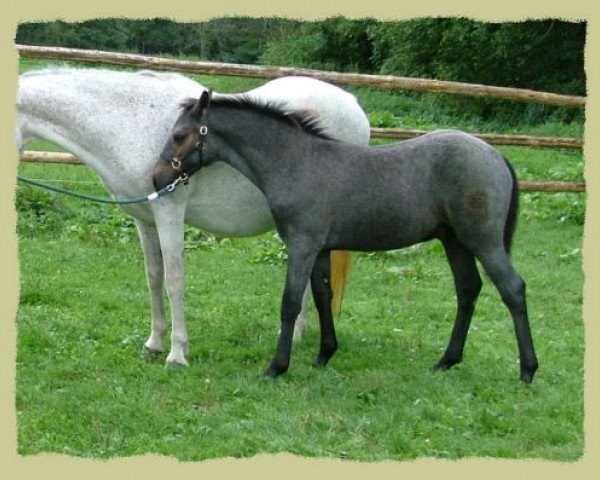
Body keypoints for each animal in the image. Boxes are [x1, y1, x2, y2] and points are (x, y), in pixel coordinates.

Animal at [155, 90, 540, 382]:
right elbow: (322, 296)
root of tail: (495, 154)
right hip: (454, 241)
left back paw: (527, 370)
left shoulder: (302, 245)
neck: (296, 163)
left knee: (512, 288)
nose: (157, 178)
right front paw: (324, 355)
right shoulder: (321, 249)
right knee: (467, 289)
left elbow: (291, 303)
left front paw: (277, 367)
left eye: (178, 136)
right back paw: (446, 361)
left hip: (483, 241)